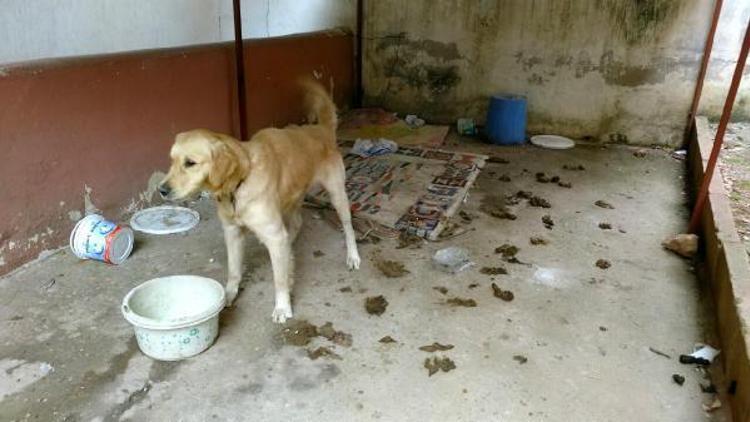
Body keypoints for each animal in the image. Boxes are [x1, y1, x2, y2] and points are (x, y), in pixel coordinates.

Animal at [159, 80, 362, 324]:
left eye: (190, 163)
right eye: (172, 160)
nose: (161, 190)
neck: (240, 182)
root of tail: (320, 129)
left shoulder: (273, 234)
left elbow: (279, 280)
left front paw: (282, 307)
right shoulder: (232, 232)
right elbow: (234, 270)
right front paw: (228, 295)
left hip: (337, 194)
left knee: (347, 226)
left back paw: (352, 256)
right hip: (291, 199)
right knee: (295, 225)